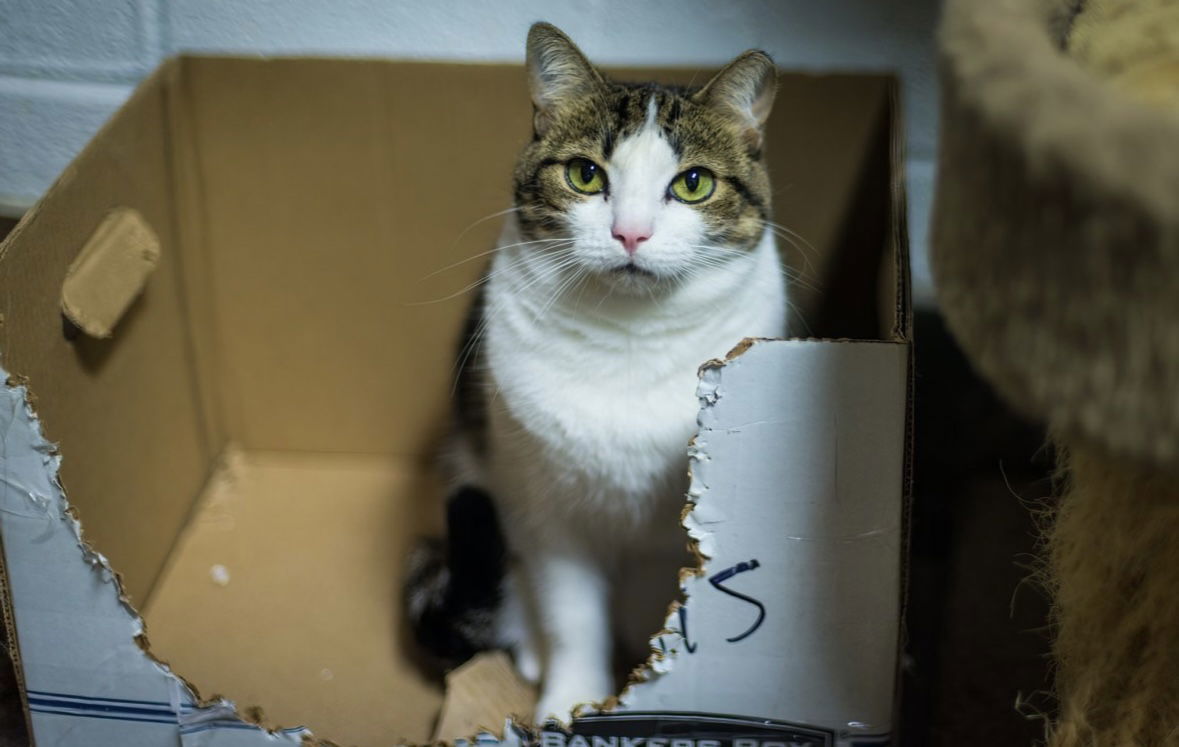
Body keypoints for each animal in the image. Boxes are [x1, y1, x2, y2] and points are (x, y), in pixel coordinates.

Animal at [410, 21, 787, 721]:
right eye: (586, 175)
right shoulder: (546, 505)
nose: (630, 234)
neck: (629, 341)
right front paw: (573, 700)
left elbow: (668, 604)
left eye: (693, 183)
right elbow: (572, 613)